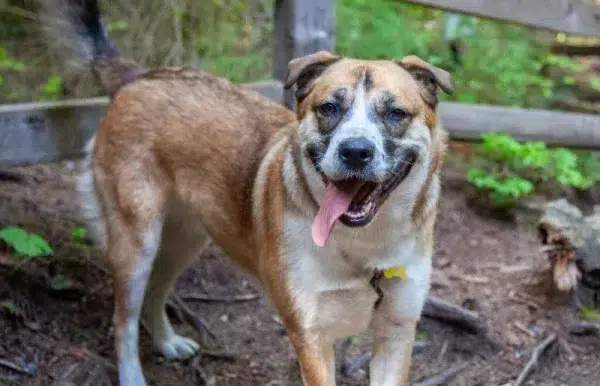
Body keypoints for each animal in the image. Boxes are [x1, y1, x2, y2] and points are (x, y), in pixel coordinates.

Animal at [43, 1, 454, 384]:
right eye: (329, 108)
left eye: (396, 113)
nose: (355, 151)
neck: (364, 245)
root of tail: (143, 75)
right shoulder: (311, 338)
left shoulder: (396, 335)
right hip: (136, 242)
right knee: (124, 321)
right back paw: (132, 374)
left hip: (186, 238)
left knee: (156, 291)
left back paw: (167, 342)